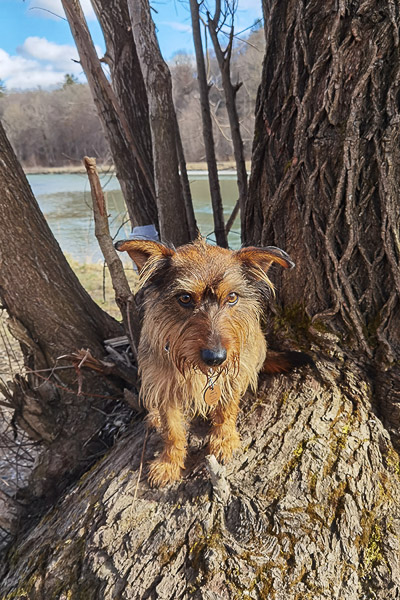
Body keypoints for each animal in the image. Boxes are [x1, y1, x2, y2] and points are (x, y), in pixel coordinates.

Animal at [116, 237, 305, 487]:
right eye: (185, 298)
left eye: (232, 297)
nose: (215, 358)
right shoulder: (165, 386)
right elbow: (172, 430)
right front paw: (169, 463)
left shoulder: (234, 375)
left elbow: (227, 410)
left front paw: (224, 440)